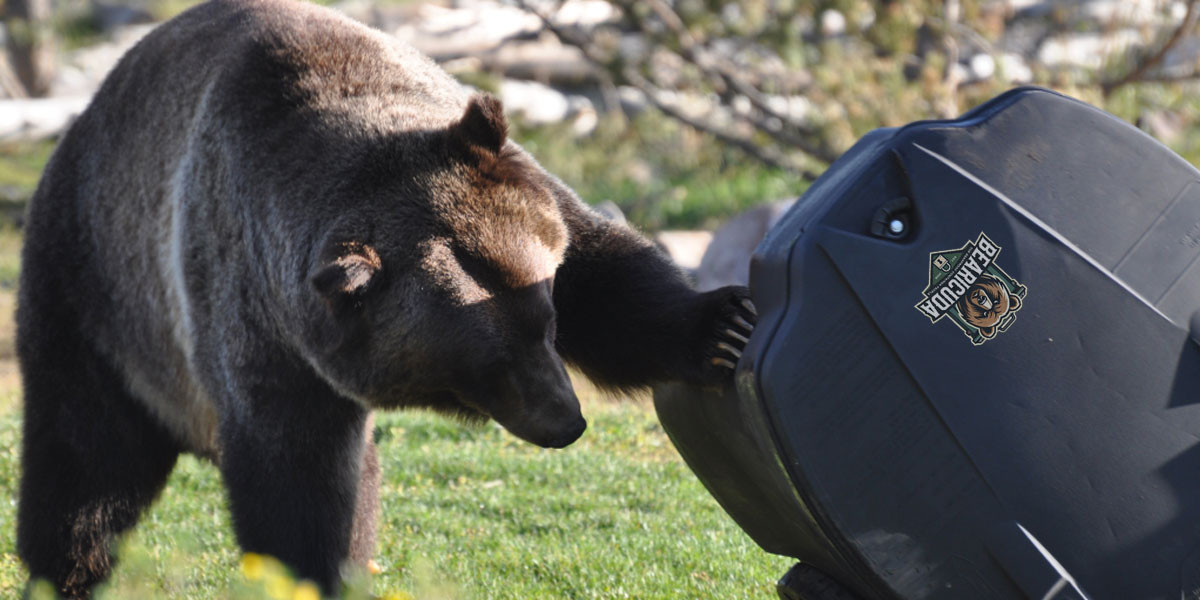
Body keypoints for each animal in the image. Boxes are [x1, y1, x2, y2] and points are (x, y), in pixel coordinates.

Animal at [14, 0, 756, 597]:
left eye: (546, 322)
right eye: (482, 364)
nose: (564, 421)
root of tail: (82, 122)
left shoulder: (525, 198)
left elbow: (608, 278)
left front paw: (722, 327)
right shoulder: (263, 319)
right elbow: (297, 472)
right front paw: (313, 573)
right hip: (96, 288)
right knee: (84, 460)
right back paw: (65, 571)